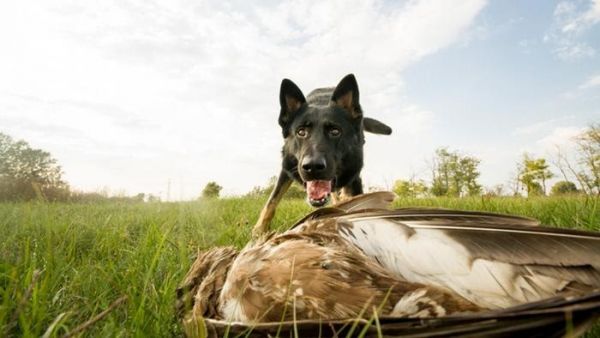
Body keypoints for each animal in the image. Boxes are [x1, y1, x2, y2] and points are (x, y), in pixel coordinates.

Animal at [251, 74, 392, 236]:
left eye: (335, 131)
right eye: (301, 132)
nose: (312, 167)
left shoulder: (354, 174)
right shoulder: (287, 167)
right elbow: (272, 201)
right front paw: (258, 231)